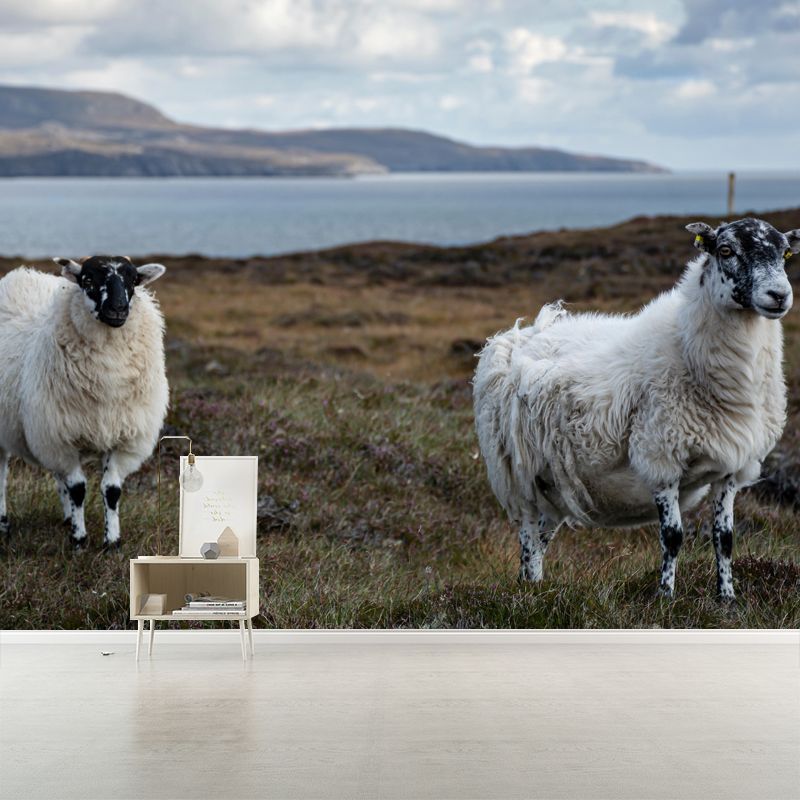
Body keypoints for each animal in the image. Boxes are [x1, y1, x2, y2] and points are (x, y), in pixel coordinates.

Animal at [0, 256, 168, 549]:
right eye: (88, 280)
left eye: (133, 281)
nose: (118, 309)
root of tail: (20, 276)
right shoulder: (61, 438)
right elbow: (78, 489)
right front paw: (79, 540)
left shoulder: (122, 438)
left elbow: (111, 490)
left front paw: (112, 542)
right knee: (2, 477)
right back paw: (4, 525)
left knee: (59, 477)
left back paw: (66, 518)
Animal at [473, 218, 798, 599]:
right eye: (726, 250)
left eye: (786, 253)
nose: (779, 296)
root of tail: (520, 335)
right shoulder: (661, 458)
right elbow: (673, 537)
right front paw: (665, 598)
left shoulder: (732, 468)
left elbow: (725, 539)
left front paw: (727, 598)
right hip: (517, 471)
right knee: (527, 536)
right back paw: (528, 595)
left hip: (551, 481)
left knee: (541, 537)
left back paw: (535, 588)